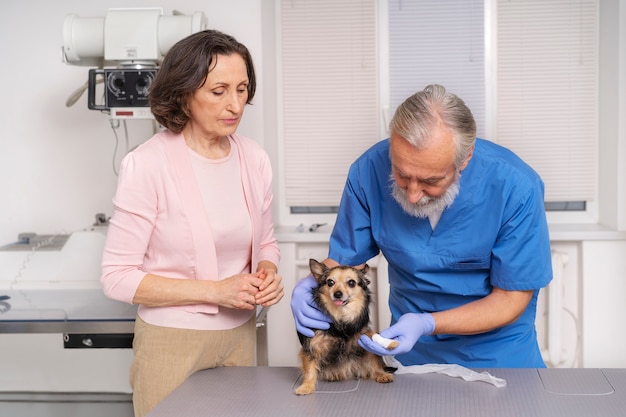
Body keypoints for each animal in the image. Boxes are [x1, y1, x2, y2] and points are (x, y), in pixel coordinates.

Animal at [292, 258, 394, 394]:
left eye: (351, 283)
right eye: (330, 282)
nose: (338, 294)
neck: (341, 318)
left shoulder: (362, 336)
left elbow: (373, 357)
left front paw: (381, 372)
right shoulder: (312, 345)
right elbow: (309, 367)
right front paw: (307, 386)